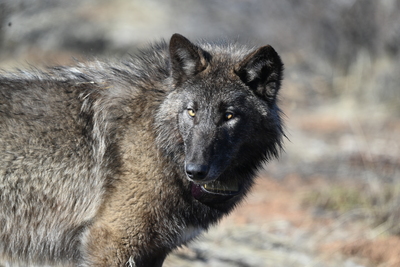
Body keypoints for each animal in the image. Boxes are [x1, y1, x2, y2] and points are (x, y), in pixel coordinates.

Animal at [0, 33, 284, 266]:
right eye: (191, 111)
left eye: (229, 116)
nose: (195, 171)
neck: (159, 140)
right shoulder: (112, 243)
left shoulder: (154, 250)